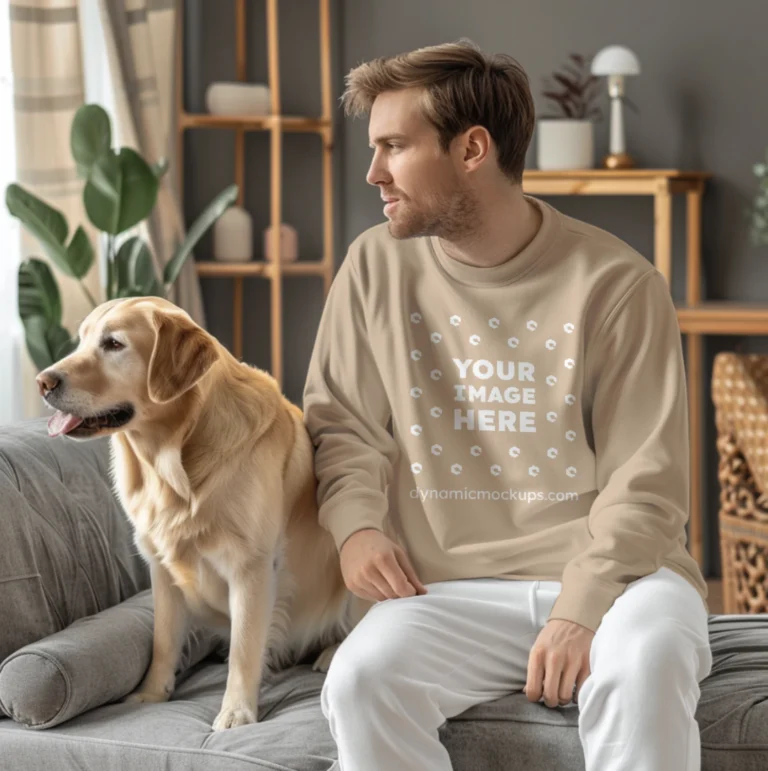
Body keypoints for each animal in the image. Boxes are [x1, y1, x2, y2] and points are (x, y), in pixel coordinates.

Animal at [33, 296, 364, 728]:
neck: (174, 459)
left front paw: (237, 711)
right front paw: (152, 693)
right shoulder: (161, 568)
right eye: (81, 339)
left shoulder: (251, 566)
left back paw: (331, 652)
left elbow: (244, 647)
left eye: (113, 344)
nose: (43, 382)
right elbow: (163, 640)